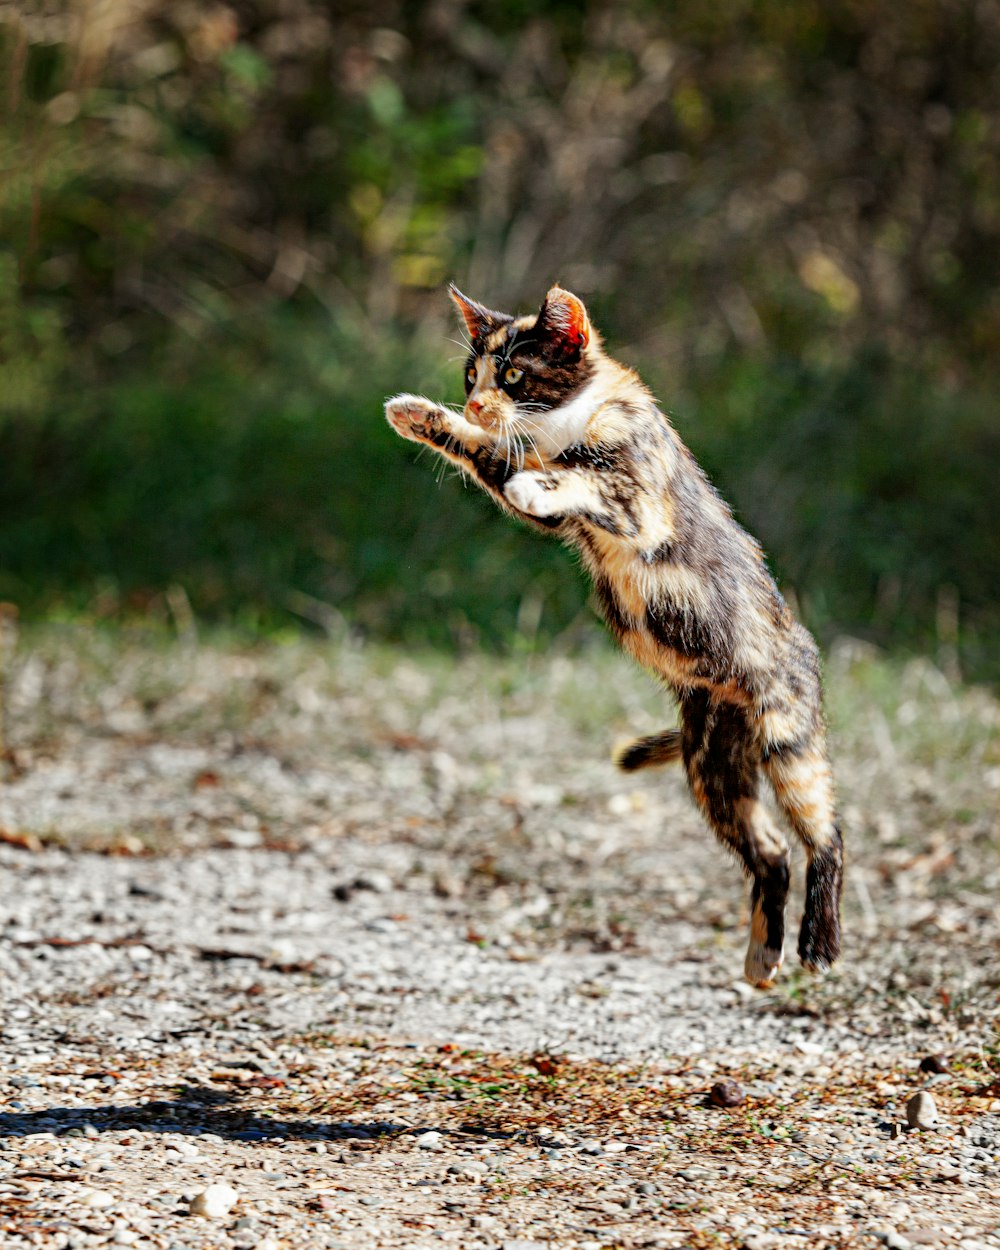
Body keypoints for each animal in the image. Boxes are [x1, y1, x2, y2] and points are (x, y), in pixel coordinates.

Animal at [387, 286, 840, 985]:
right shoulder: (539, 497)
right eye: (470, 377)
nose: (475, 402)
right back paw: (763, 955)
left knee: (826, 832)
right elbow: (496, 459)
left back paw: (819, 942)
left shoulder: (638, 501)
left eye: (513, 376)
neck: (565, 427)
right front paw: (421, 415)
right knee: (768, 850)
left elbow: (582, 478)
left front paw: (537, 470)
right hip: (714, 766)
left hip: (785, 737)